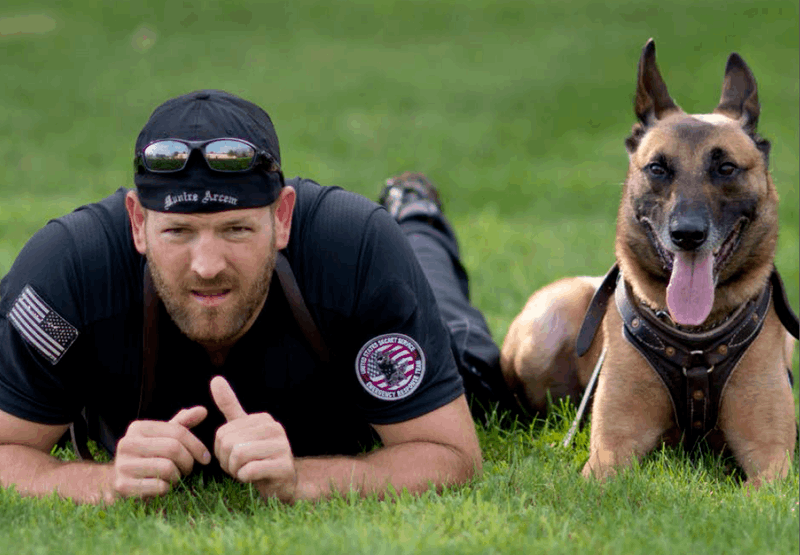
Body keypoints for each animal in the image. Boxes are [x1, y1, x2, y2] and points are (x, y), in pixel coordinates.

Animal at [504, 39, 796, 486]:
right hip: (543, 329)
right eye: (658, 168)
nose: (687, 234)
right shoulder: (610, 452)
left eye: (726, 167)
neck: (695, 340)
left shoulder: (771, 459)